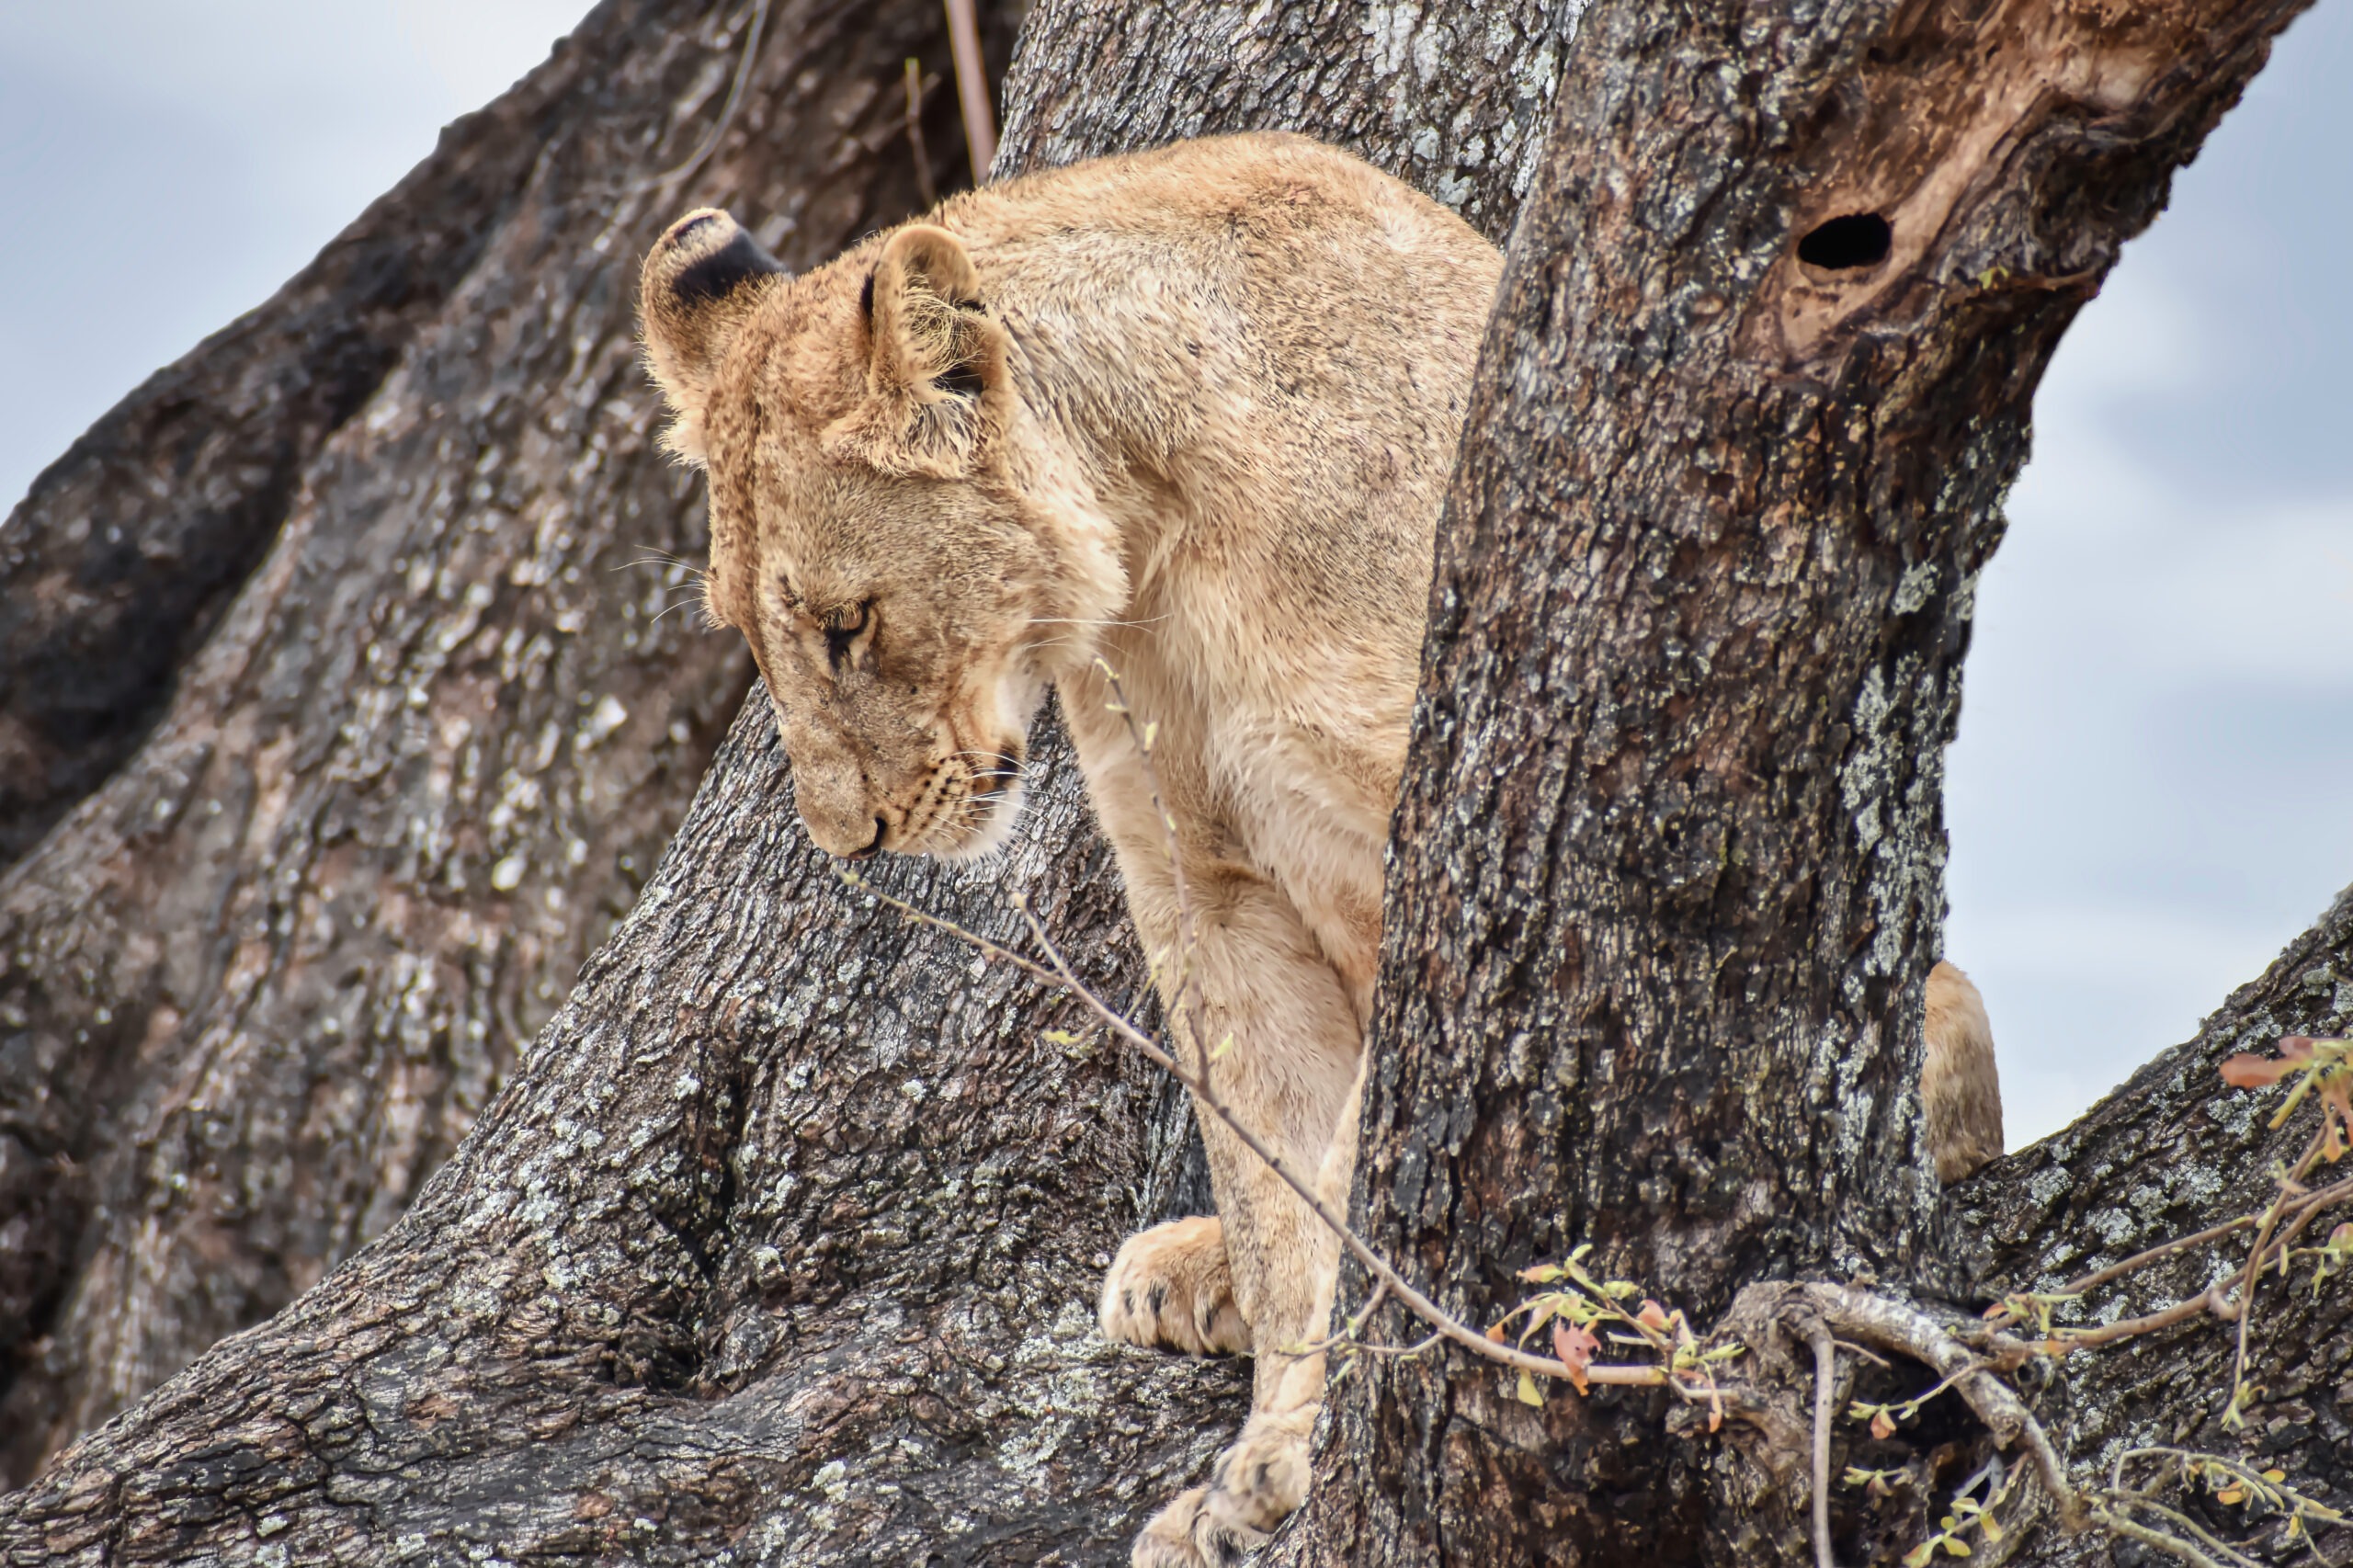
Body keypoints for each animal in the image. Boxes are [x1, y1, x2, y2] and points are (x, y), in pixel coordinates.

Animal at [637, 131, 2004, 1565]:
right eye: (752, 631)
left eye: (846, 624)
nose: (847, 839)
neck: (1155, 527)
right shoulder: (1207, 888)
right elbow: (1280, 1179)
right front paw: (1270, 1440)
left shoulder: (1451, 839)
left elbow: (1352, 1172)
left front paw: (1284, 1459)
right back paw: (1181, 1270)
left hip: (1925, 996)